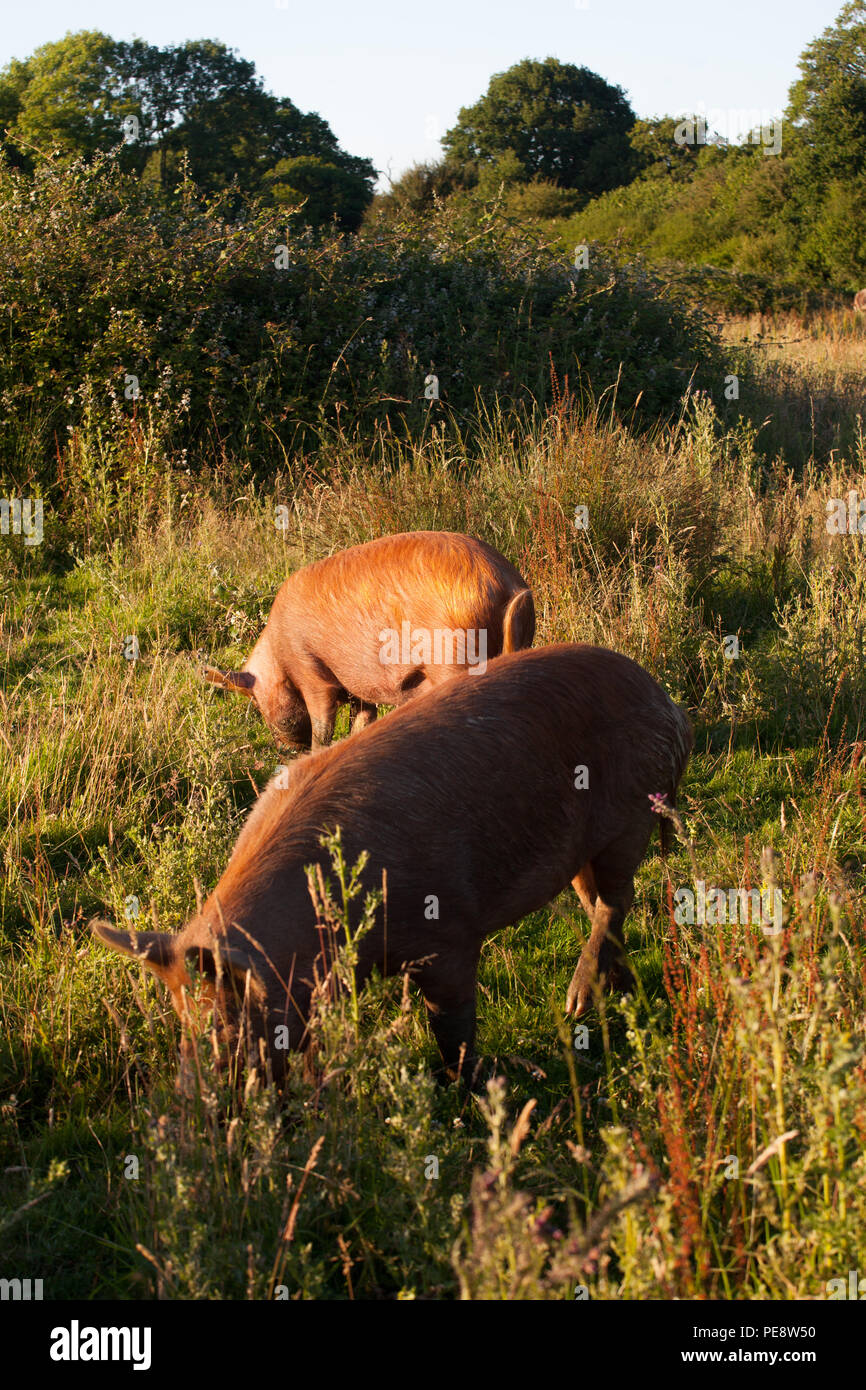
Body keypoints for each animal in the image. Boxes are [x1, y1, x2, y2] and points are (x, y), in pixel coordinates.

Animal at [93, 639, 692, 1084]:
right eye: (181, 1023)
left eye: (225, 1025)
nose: (202, 1106)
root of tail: (666, 702)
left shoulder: (449, 932)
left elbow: (453, 1026)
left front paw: (470, 1088)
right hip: (581, 849)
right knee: (601, 905)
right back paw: (615, 992)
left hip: (629, 817)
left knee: (617, 900)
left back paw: (574, 1008)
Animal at [200, 530, 536, 750]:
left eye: (256, 702)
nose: (284, 749)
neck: (278, 653)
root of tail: (505, 584)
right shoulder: (358, 690)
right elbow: (362, 722)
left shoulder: (311, 672)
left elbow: (322, 728)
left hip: (453, 655)